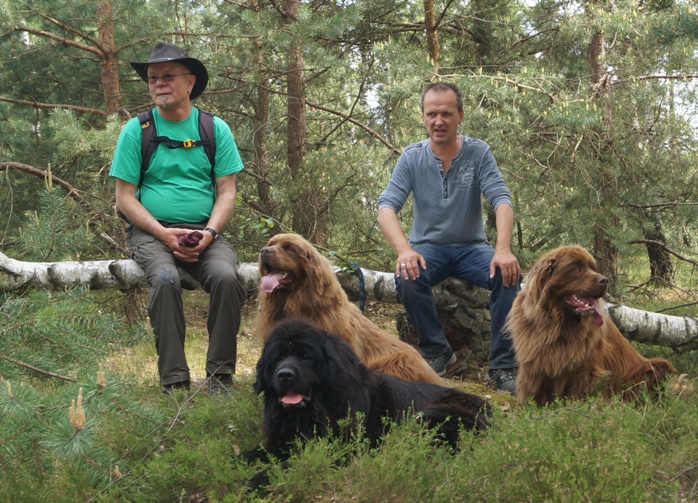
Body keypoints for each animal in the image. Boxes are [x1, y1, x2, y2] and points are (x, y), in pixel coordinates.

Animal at [243, 320, 490, 466]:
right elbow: (249, 454)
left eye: (305, 356)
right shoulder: (278, 441)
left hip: (430, 414)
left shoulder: (341, 447)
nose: (284, 375)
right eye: (278, 358)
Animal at [502, 246, 672, 408]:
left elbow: (578, 394)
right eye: (577, 268)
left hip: (654, 367)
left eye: (592, 268)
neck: (558, 326)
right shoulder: (534, 367)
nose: (605, 280)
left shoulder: (585, 370)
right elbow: (530, 392)